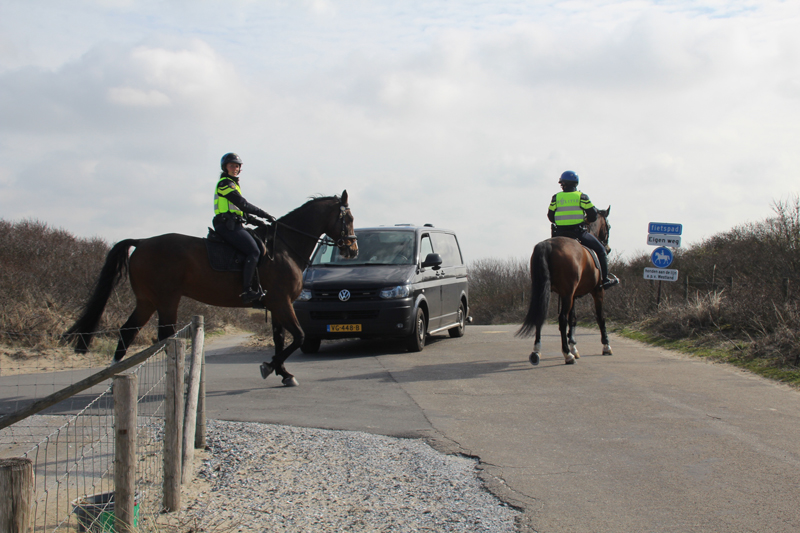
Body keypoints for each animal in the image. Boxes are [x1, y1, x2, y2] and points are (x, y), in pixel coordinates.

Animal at [64, 189, 358, 384]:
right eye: (349, 218)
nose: (352, 249)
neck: (284, 246)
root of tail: (143, 242)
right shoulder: (282, 301)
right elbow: (297, 336)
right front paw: (269, 367)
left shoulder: (276, 304)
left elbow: (280, 339)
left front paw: (283, 373)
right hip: (166, 300)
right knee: (164, 337)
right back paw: (181, 375)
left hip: (146, 301)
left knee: (128, 331)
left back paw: (113, 374)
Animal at [516, 206, 616, 364]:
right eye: (609, 226)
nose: (608, 248)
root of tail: (547, 245)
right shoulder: (597, 291)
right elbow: (600, 317)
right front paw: (606, 346)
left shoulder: (573, 295)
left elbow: (573, 319)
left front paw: (574, 347)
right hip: (568, 294)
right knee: (562, 319)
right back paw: (567, 354)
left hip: (545, 292)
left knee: (541, 316)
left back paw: (536, 351)